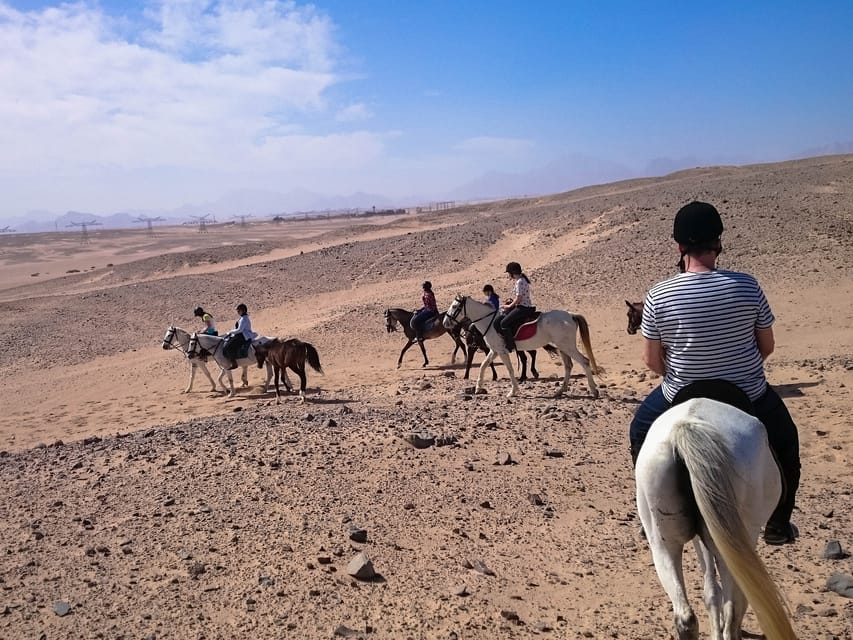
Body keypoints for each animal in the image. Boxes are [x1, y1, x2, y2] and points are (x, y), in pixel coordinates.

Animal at [446, 294, 600, 396]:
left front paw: (513, 391)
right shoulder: (495, 350)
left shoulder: (502, 351)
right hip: (562, 347)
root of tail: (571, 315)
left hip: (567, 347)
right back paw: (560, 390)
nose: (445, 322)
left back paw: (593, 390)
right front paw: (478, 387)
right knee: (568, 366)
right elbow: (484, 365)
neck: (488, 321)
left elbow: (510, 369)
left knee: (584, 361)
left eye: (454, 306)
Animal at [636, 382, 796, 636]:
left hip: (663, 543)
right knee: (735, 609)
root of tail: (685, 428)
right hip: (737, 539)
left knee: (685, 616)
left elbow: (710, 591)